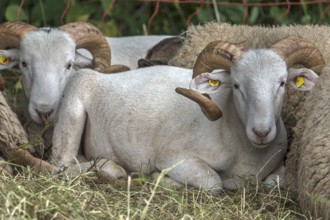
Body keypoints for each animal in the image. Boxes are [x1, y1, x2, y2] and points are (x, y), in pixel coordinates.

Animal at [50, 35, 324, 193]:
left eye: (282, 82)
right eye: (236, 85)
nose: (262, 131)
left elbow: (274, 182)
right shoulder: (174, 156)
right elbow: (214, 183)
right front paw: (157, 178)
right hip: (73, 109)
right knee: (62, 164)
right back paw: (111, 168)